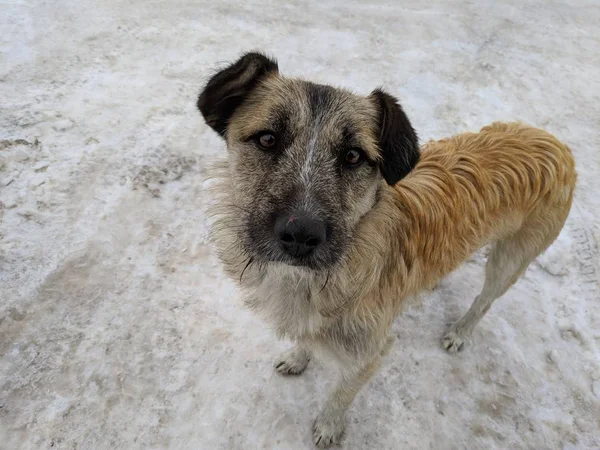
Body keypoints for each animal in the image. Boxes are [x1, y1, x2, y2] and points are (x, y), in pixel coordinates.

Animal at [197, 51, 576, 446]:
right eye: (267, 138)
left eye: (353, 156)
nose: (301, 233)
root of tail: (552, 141)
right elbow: (306, 340)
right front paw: (299, 358)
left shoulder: (370, 352)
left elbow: (341, 394)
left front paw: (328, 426)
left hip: (510, 260)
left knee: (485, 300)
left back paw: (460, 332)